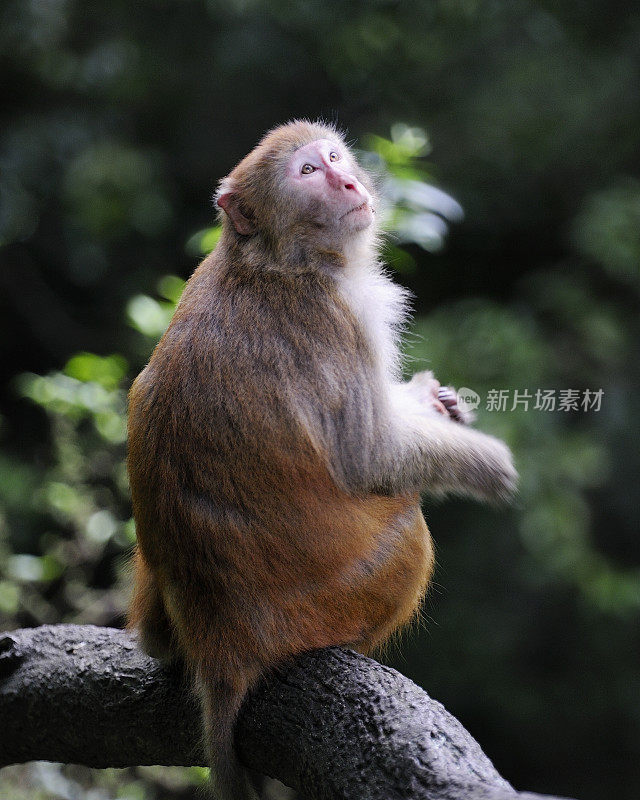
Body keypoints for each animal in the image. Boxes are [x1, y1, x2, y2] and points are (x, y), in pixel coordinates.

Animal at [126, 119, 516, 800]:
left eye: (333, 157)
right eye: (308, 173)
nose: (349, 183)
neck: (277, 258)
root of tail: (222, 646)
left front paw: (432, 400)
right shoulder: (337, 318)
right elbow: (371, 458)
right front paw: (487, 462)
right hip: (336, 606)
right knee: (408, 526)